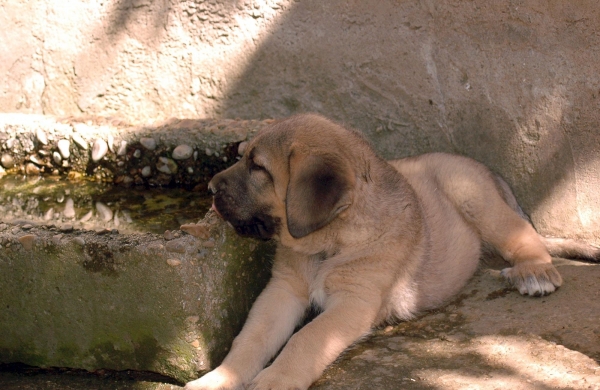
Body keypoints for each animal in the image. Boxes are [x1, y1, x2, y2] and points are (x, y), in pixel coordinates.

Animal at [188, 114, 592, 388]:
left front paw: (275, 380)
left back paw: (534, 271)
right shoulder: (283, 290)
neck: (329, 244)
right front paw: (217, 379)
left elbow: (306, 339)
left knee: (526, 236)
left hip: (472, 195)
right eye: (245, 158)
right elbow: (250, 339)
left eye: (258, 168)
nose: (210, 188)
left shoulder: (355, 301)